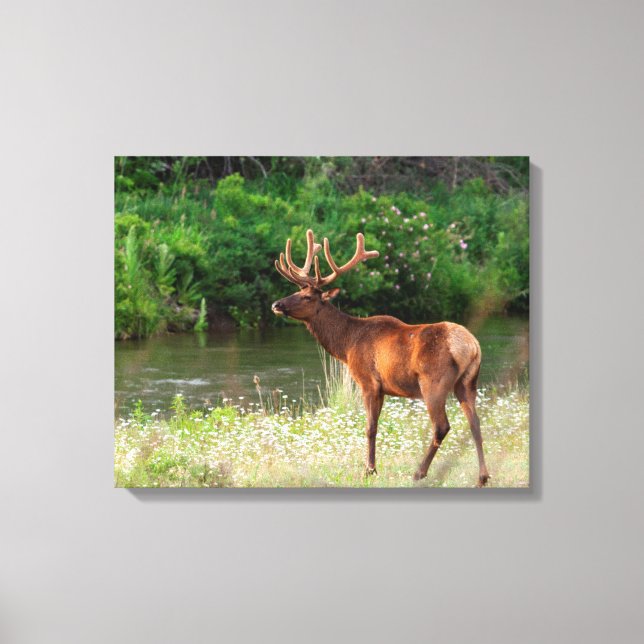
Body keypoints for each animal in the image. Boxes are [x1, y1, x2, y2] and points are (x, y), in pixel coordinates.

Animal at [271, 229, 490, 487]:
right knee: (475, 423)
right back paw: (482, 477)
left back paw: (419, 472)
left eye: (307, 297)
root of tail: (471, 346)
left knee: (441, 426)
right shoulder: (384, 388)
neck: (346, 345)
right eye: (296, 291)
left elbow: (370, 428)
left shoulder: (368, 381)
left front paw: (369, 470)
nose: (276, 304)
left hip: (433, 382)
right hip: (468, 382)